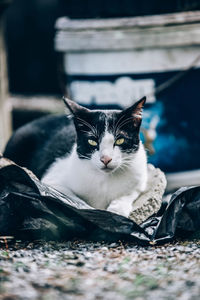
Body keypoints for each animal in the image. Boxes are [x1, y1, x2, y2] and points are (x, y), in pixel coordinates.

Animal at [2, 97, 147, 217]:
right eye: (92, 141)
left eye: (120, 140)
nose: (105, 159)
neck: (105, 179)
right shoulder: (52, 181)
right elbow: (73, 199)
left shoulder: (140, 177)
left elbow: (129, 192)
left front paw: (117, 211)